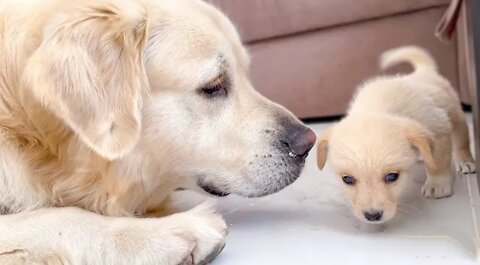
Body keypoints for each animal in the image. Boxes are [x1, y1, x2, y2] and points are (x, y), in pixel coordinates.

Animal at [316, 46, 474, 223]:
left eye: (392, 176)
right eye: (347, 179)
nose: (372, 216)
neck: (377, 105)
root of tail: (424, 71)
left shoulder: (438, 128)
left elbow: (437, 163)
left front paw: (437, 185)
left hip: (454, 114)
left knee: (461, 140)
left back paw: (466, 161)